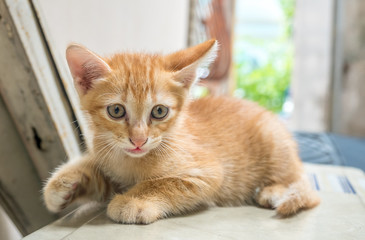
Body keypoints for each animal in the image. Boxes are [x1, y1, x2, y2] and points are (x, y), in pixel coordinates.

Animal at [43, 38, 318, 224]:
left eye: (159, 112)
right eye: (117, 111)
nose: (139, 140)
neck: (131, 162)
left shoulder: (208, 172)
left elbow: (163, 183)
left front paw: (133, 200)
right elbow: (99, 175)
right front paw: (64, 184)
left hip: (274, 143)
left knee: (307, 188)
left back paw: (274, 191)